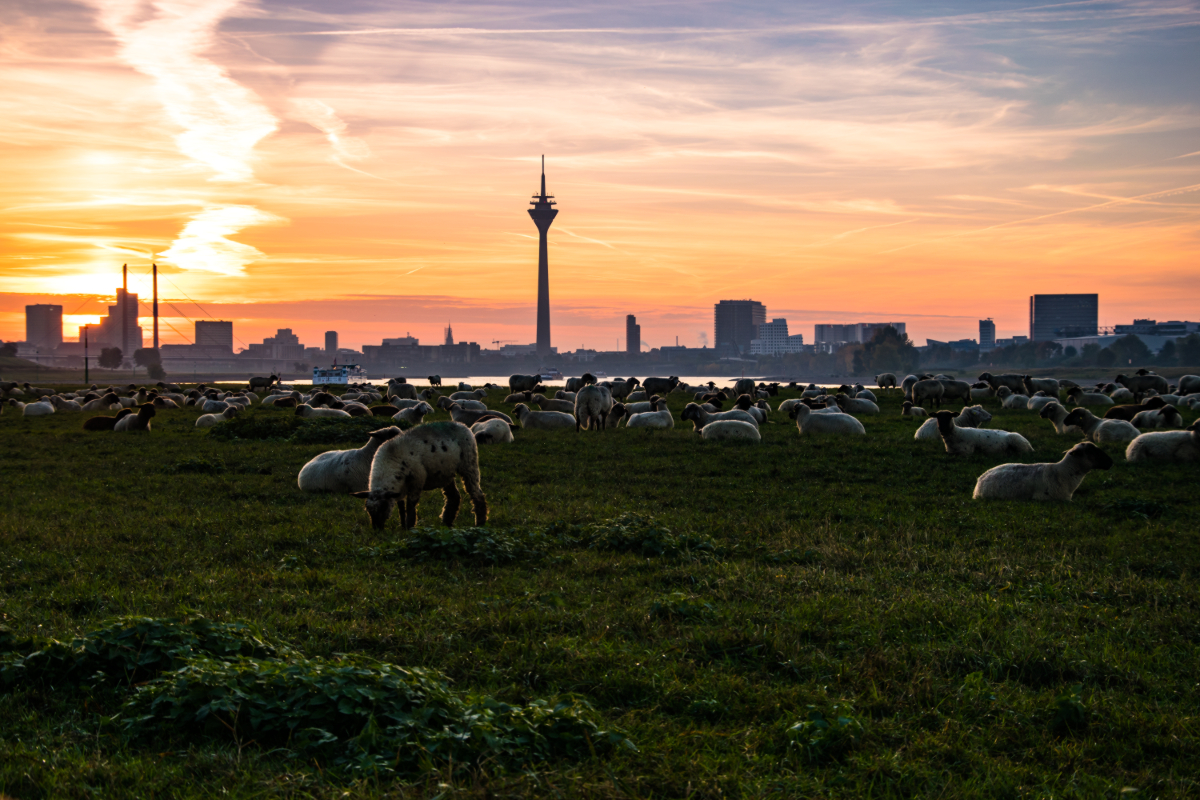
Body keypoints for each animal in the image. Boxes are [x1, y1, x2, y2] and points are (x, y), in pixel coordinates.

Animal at [350, 419, 487, 532]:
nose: (377, 529)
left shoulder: (417, 478)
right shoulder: (399, 487)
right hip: (446, 472)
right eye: (367, 509)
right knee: (454, 496)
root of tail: (462, 425)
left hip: (469, 463)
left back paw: (480, 523)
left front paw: (409, 527)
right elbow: (401, 506)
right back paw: (446, 522)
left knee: (477, 493)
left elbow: (411, 504)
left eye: (384, 507)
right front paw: (402, 525)